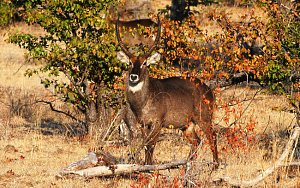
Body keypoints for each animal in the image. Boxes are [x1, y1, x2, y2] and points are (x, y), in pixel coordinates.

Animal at [116, 15, 219, 167]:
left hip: (203, 118)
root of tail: (209, 90)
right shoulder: (143, 124)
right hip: (187, 125)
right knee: (197, 141)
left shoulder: (158, 123)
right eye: (130, 62)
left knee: (212, 136)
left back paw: (215, 166)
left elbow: (151, 145)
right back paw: (187, 164)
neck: (145, 100)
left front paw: (149, 168)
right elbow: (146, 145)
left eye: (145, 63)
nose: (133, 76)